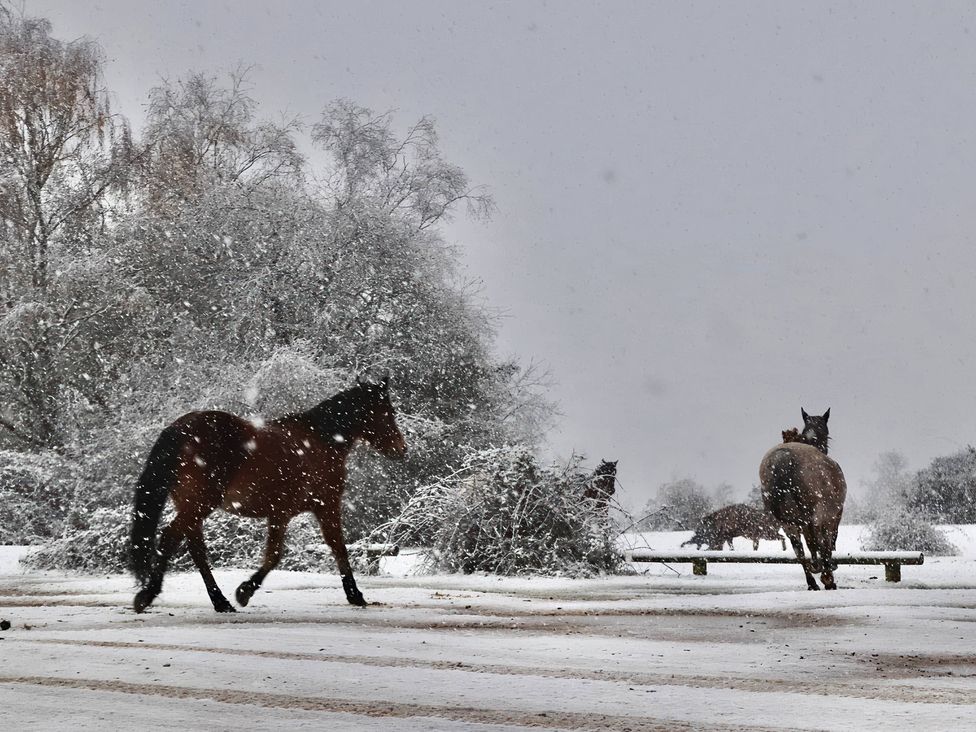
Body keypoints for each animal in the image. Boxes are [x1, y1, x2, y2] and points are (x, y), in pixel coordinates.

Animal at [128, 375, 407, 614]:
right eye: (388, 412)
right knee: (170, 538)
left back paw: (220, 601)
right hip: (199, 504)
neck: (321, 440)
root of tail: (181, 428)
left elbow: (295, 551)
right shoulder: (322, 505)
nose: (401, 449)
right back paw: (148, 595)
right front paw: (245, 591)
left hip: (191, 505)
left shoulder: (285, 513)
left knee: (195, 548)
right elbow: (320, 548)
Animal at [759, 407, 846, 590]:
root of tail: (783, 459)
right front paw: (828, 572)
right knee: (818, 542)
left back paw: (812, 582)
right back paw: (826, 576)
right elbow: (826, 544)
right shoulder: (832, 517)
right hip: (816, 516)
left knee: (798, 549)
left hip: (788, 523)